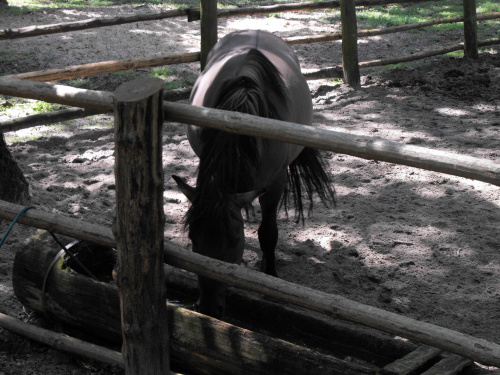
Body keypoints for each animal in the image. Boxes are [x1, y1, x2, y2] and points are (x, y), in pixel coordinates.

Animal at [174, 30, 334, 320]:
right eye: (193, 238)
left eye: (235, 240)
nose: (209, 308)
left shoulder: (275, 183)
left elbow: (268, 233)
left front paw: (269, 275)